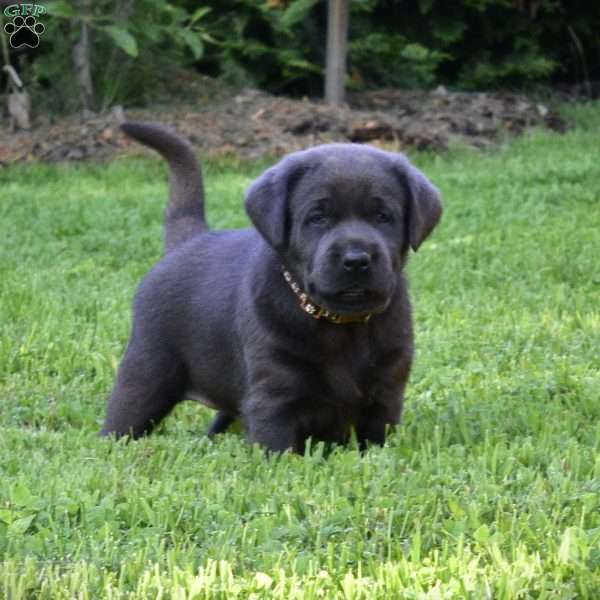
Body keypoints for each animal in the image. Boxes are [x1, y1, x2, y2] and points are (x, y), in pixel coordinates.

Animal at [102, 122, 440, 450]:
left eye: (383, 216)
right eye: (317, 218)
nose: (356, 259)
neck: (340, 324)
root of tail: (190, 240)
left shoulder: (385, 396)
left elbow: (374, 444)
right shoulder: (273, 396)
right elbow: (276, 450)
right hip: (147, 370)